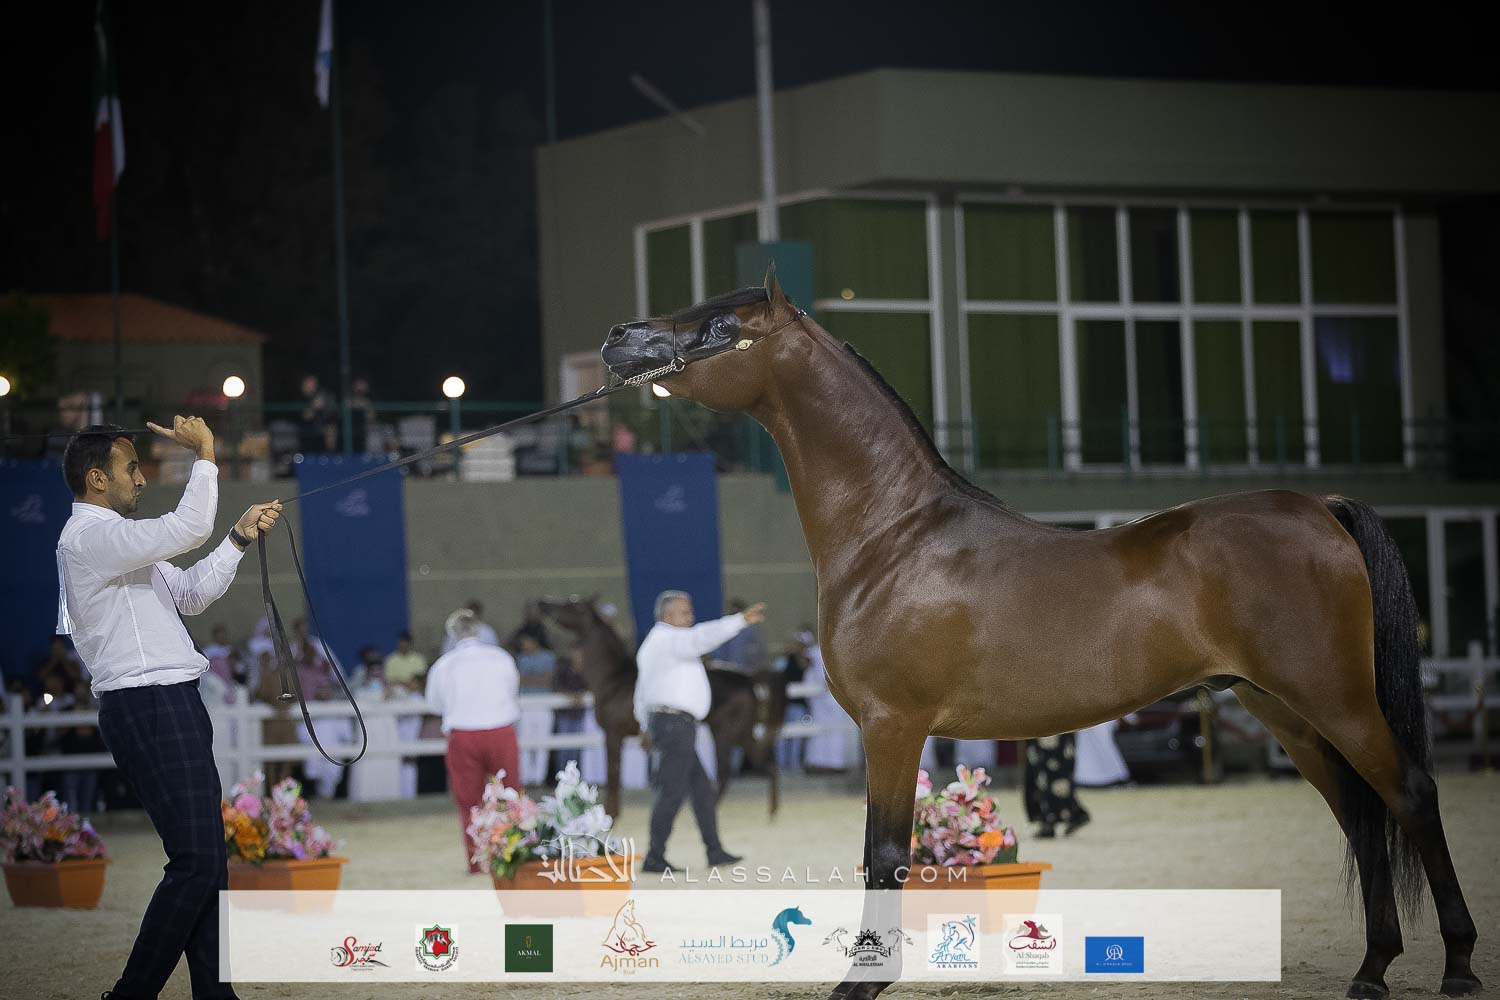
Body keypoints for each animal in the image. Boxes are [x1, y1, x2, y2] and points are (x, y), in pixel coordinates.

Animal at [537, 595, 786, 819]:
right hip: (741, 733)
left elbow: (613, 774)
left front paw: (612, 814)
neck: (612, 679)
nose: (543, 603)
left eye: (572, 605)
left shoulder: (612, 735)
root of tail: (748, 678)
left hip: (727, 733)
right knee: (767, 763)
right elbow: (615, 775)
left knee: (728, 772)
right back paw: (771, 811)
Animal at [600, 267, 1481, 1000]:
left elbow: (885, 856)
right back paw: (1371, 970)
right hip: (1285, 712)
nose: (617, 339)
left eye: (722, 325)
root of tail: (1320, 508)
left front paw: (861, 985)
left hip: (1336, 698)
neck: (893, 534)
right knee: (1362, 817)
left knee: (1409, 794)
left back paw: (1460, 967)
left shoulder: (892, 726)